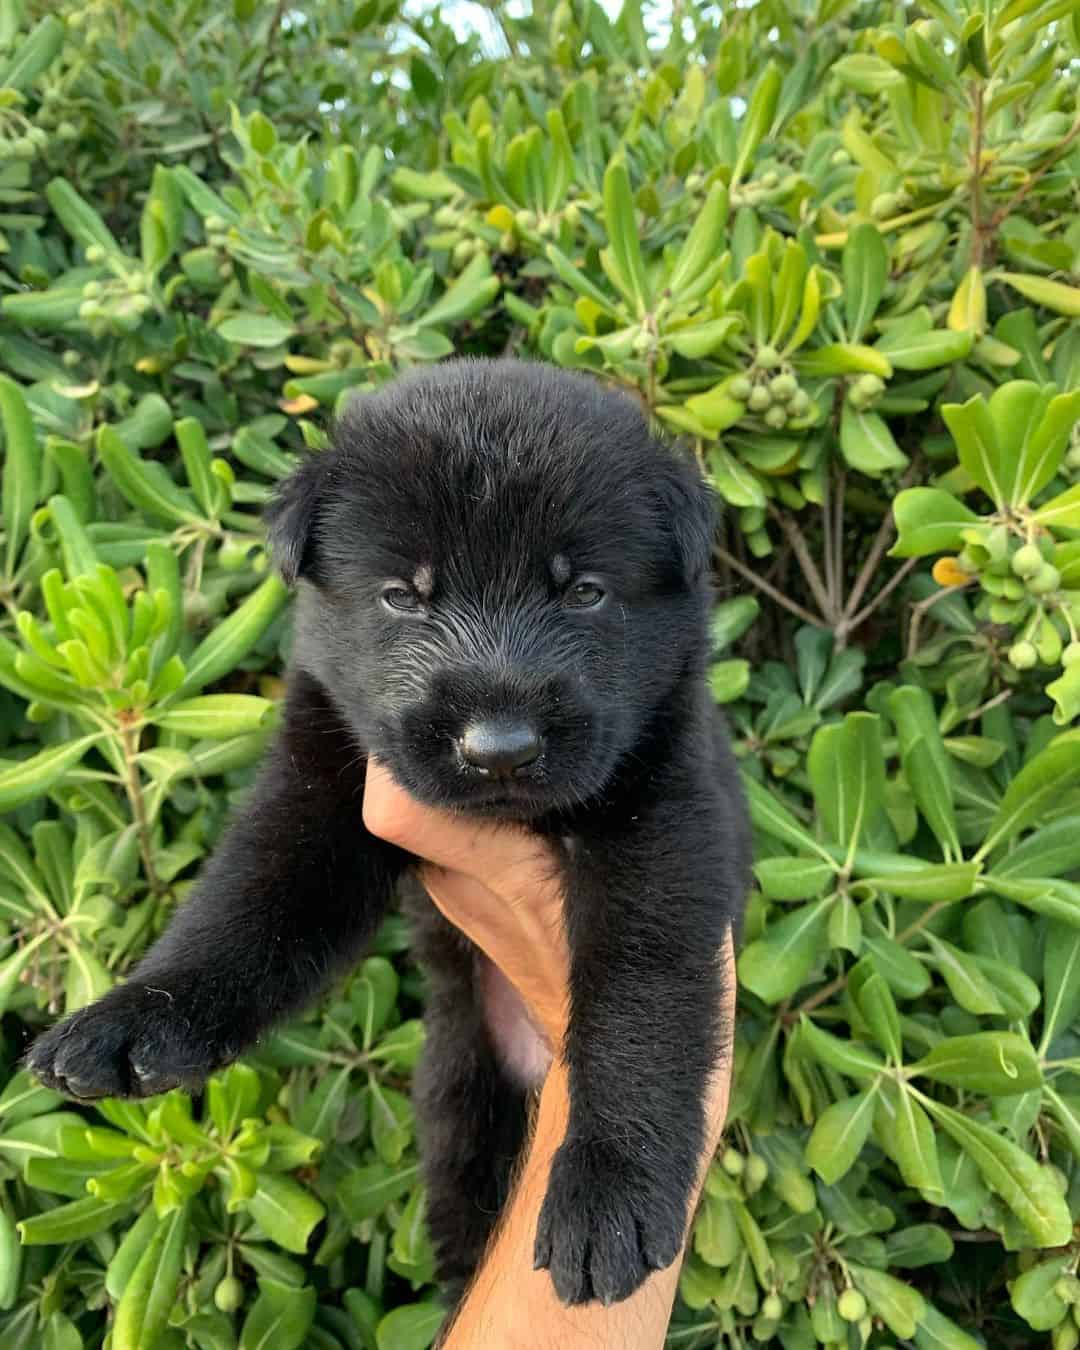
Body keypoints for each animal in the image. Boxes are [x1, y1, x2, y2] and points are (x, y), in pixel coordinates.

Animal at [27, 359, 750, 1306]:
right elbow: (250, 909)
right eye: (403, 595)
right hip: (457, 1099)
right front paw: (133, 1019)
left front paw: (609, 1188)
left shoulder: (662, 820)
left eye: (586, 591)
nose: (499, 749)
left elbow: (641, 995)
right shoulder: (325, 784)